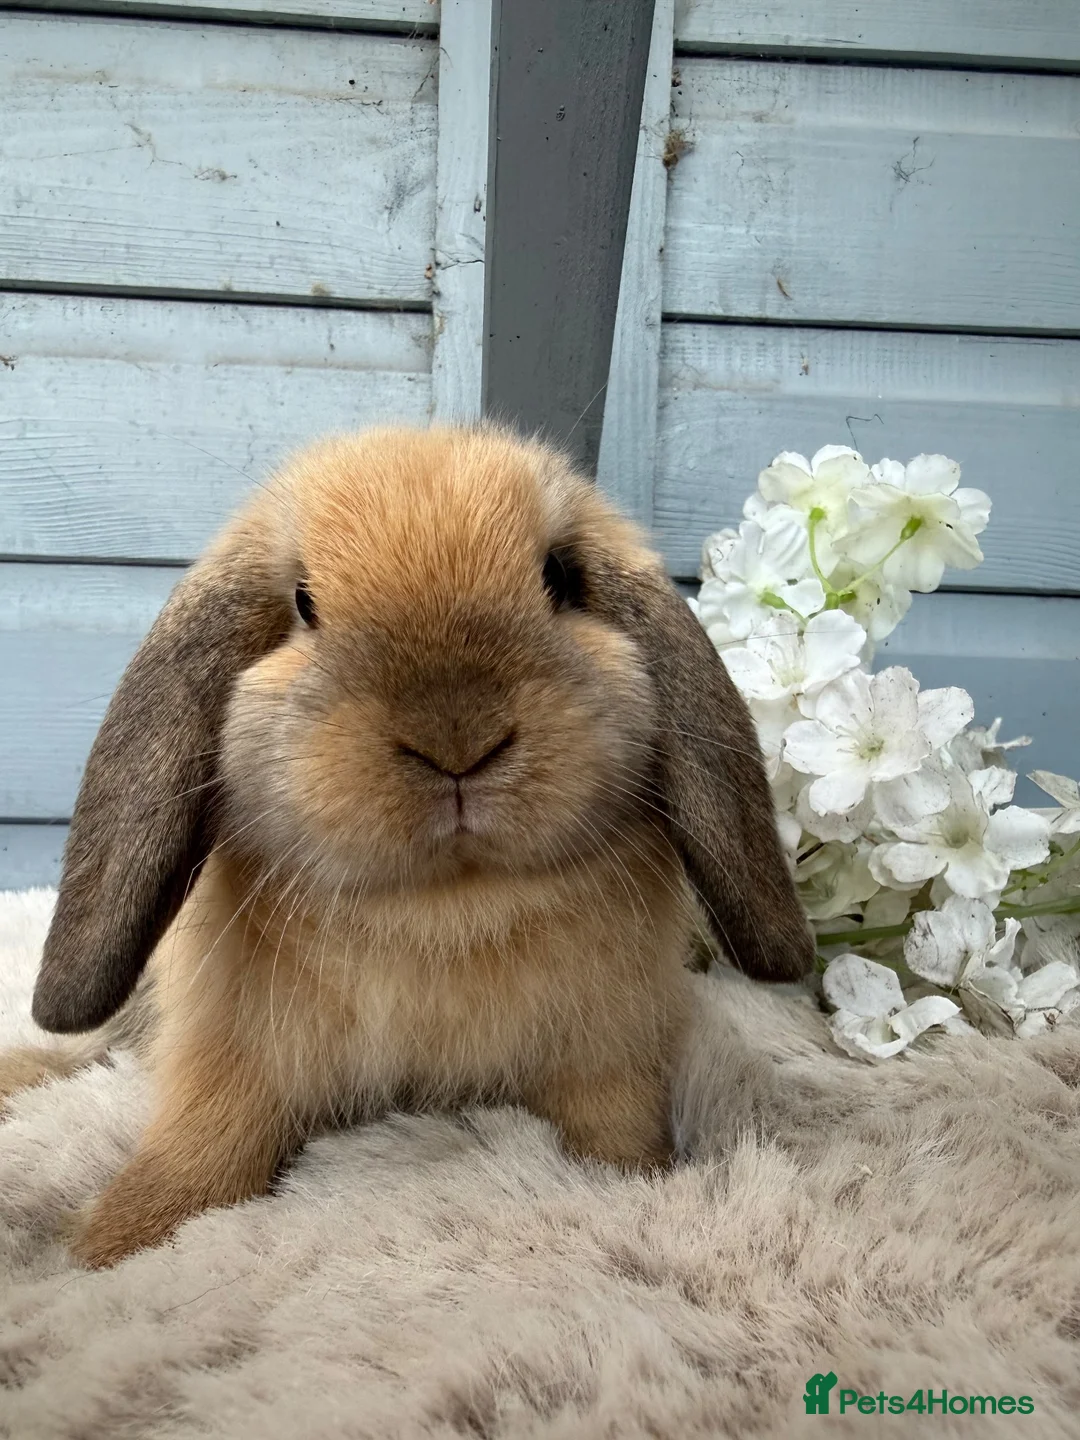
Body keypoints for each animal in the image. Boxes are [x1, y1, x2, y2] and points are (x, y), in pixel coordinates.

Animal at [0, 425, 814, 1268]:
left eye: (559, 577)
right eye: (304, 602)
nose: (456, 736)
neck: (442, 909)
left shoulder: (610, 1050)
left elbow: (613, 1127)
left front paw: (639, 1182)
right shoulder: (228, 1053)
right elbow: (205, 1137)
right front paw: (120, 1239)